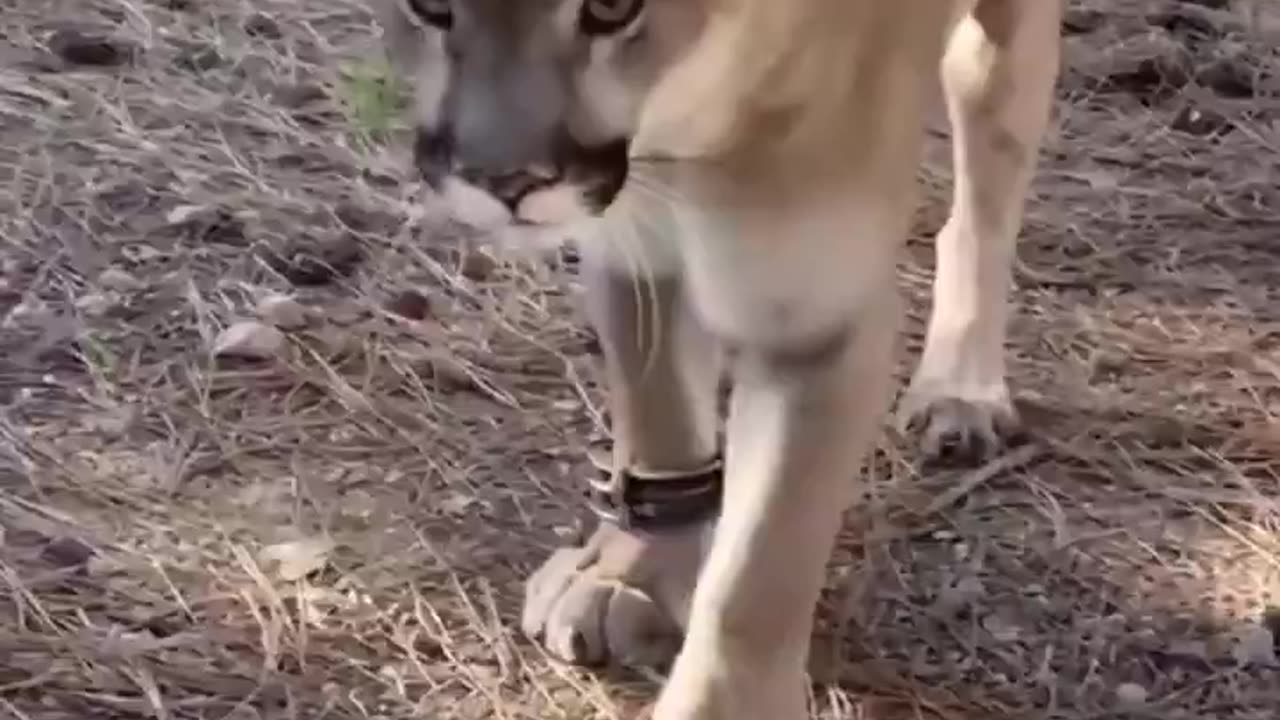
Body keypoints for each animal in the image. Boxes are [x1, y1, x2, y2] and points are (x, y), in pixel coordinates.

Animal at [374, 0, 1062, 717]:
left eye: (612, 8)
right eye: (430, 6)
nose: (505, 181)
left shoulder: (815, 325)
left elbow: (756, 573)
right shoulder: (638, 240)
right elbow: (658, 417)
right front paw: (630, 573)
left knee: (987, 171)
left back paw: (961, 395)